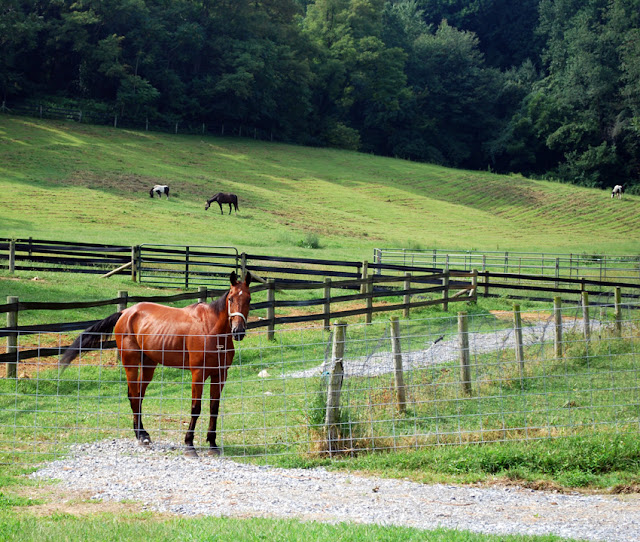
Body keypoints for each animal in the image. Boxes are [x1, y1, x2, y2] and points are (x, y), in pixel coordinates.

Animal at [59, 274, 250, 456]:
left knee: (138, 395)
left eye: (248, 299)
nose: (238, 331)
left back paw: (141, 434)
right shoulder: (198, 374)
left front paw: (212, 444)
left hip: (149, 365)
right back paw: (141, 436)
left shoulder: (220, 374)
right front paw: (189, 445)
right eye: (231, 298)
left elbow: (214, 408)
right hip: (130, 363)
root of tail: (126, 312)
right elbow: (196, 408)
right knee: (133, 396)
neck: (211, 330)